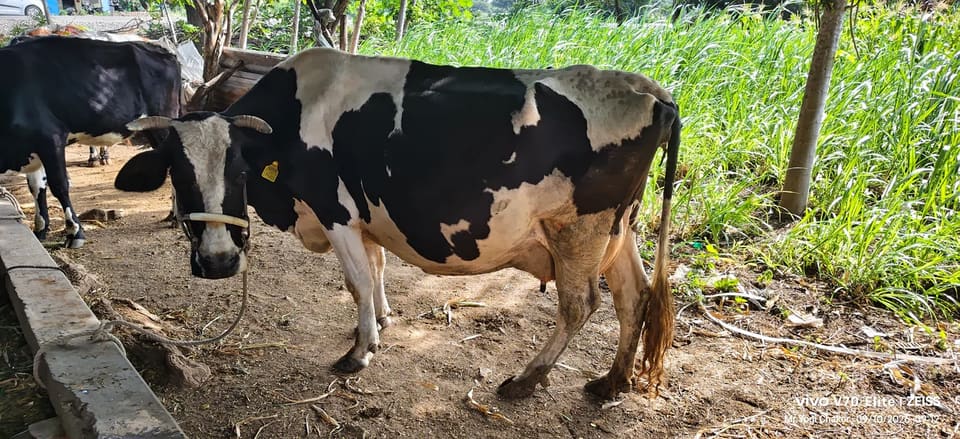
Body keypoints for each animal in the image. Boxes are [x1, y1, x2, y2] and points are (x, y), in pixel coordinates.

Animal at [0, 36, 181, 248]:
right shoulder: (32, 148)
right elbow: (37, 187)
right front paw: (41, 229)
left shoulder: (51, 137)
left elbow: (59, 185)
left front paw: (75, 232)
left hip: (163, 124)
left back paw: (176, 217)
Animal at [114, 48, 680, 400]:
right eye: (176, 171)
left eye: (238, 170)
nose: (217, 262)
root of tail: (650, 89)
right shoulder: (367, 217)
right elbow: (378, 267)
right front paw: (382, 322)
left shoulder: (337, 210)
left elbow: (358, 281)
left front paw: (359, 351)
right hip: (620, 229)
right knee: (634, 296)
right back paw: (610, 382)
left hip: (579, 230)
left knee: (580, 304)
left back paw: (525, 380)